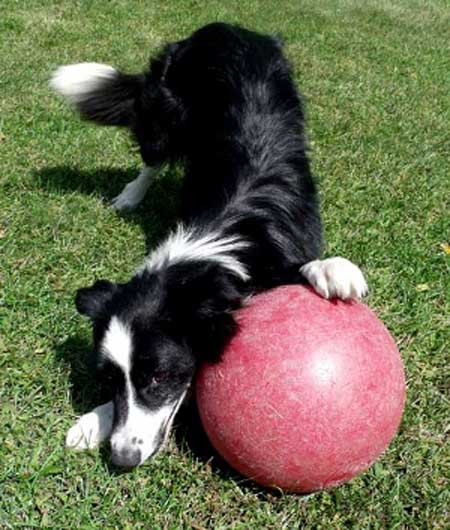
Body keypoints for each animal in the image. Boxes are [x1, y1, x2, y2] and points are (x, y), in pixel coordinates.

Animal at [50, 21, 366, 466]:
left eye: (159, 375)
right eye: (109, 378)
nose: (123, 457)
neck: (218, 237)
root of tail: (224, 28)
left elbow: (306, 264)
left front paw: (333, 269)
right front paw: (94, 421)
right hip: (166, 111)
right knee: (152, 158)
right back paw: (131, 196)